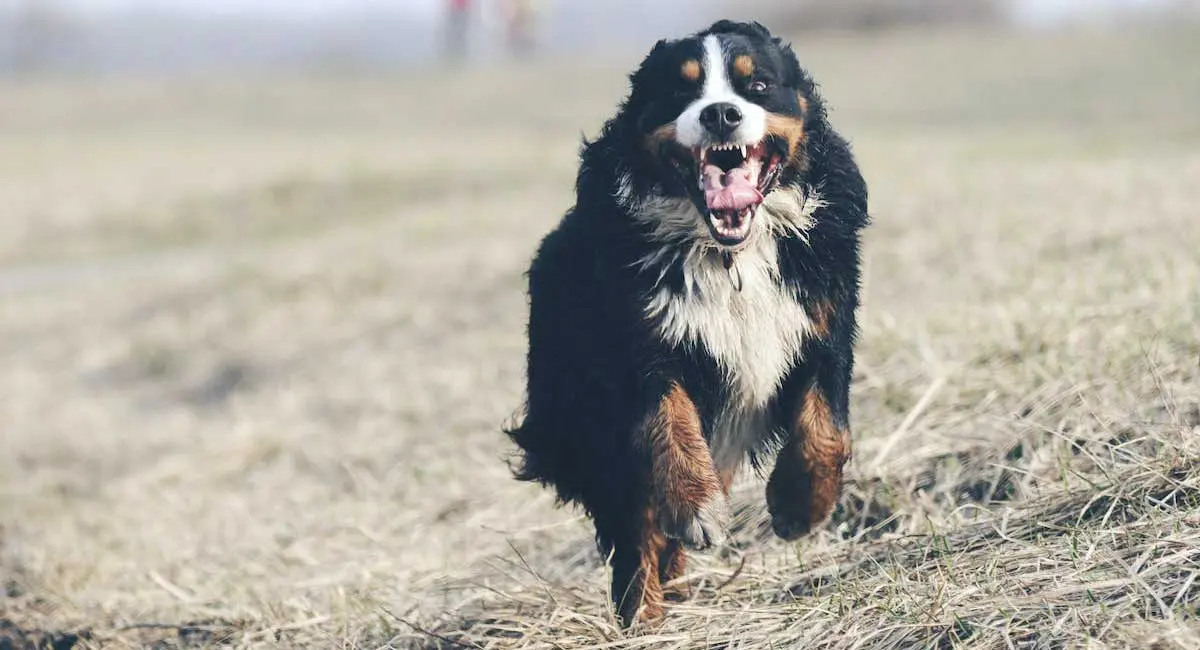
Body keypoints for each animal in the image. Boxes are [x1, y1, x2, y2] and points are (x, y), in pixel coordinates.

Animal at [501, 20, 868, 628]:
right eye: (680, 90)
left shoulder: (823, 320)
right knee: (634, 525)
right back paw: (643, 612)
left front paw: (799, 505)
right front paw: (697, 509)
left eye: (758, 84)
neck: (729, 255)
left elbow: (827, 429)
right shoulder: (639, 345)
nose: (720, 113)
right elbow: (669, 424)